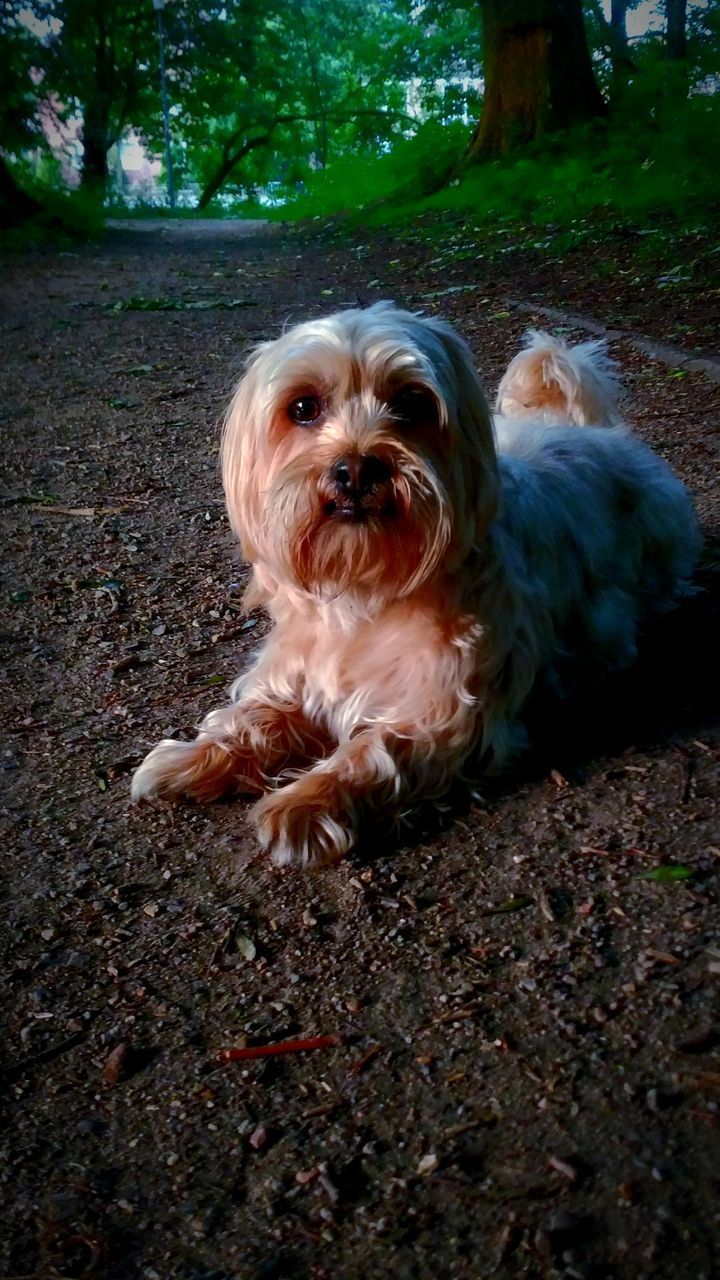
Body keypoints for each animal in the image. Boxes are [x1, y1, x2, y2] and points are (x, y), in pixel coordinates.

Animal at [128, 300, 696, 865]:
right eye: (303, 407)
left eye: (410, 401)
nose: (356, 469)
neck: (367, 584)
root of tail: (595, 432)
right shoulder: (294, 673)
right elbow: (253, 718)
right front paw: (189, 758)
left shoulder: (446, 712)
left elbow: (373, 751)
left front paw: (305, 802)